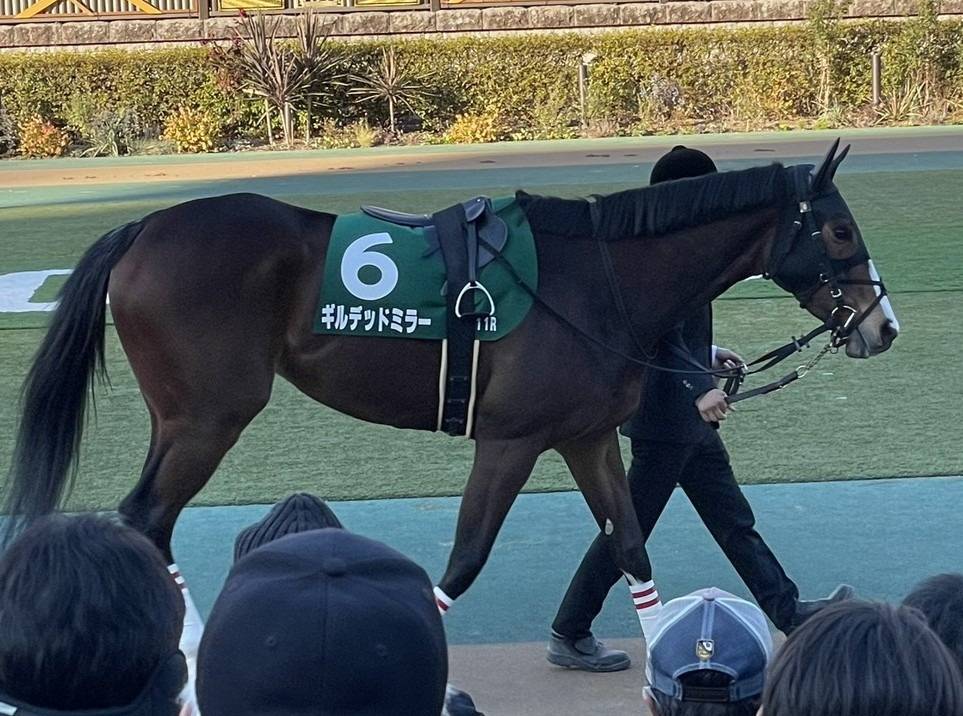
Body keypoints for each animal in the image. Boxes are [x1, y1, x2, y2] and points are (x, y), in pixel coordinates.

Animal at [4, 140, 897, 617]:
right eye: (838, 230)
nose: (881, 325)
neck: (598, 277)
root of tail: (145, 226)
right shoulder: (508, 441)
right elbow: (464, 560)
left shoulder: (585, 437)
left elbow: (630, 552)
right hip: (212, 415)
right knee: (147, 517)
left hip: (180, 416)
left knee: (144, 521)